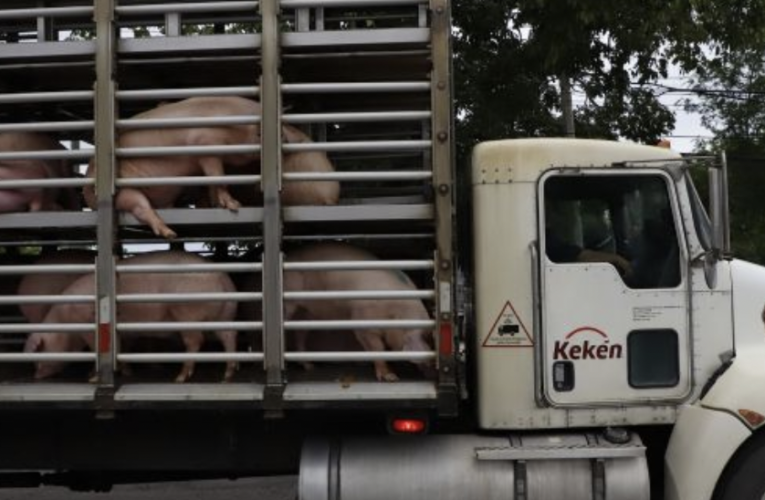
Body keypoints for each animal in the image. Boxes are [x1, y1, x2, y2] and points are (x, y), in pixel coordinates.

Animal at [24, 250, 236, 382]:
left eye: (40, 351)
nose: (35, 376)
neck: (65, 324)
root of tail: (221, 276)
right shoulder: (124, 333)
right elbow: (122, 348)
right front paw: (127, 373)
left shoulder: (87, 326)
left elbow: (96, 349)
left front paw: (92, 377)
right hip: (223, 315)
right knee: (229, 337)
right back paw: (227, 375)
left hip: (187, 312)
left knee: (195, 341)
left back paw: (180, 378)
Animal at [83, 97, 262, 240]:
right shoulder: (205, 145)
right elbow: (218, 177)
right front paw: (235, 206)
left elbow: (211, 182)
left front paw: (216, 205)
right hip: (124, 191)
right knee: (140, 207)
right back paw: (170, 234)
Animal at [282, 243, 432, 382]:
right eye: (422, 336)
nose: (428, 369)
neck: (393, 314)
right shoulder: (364, 323)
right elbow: (378, 348)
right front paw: (390, 377)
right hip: (290, 299)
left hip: (308, 313)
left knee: (300, 334)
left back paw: (310, 366)